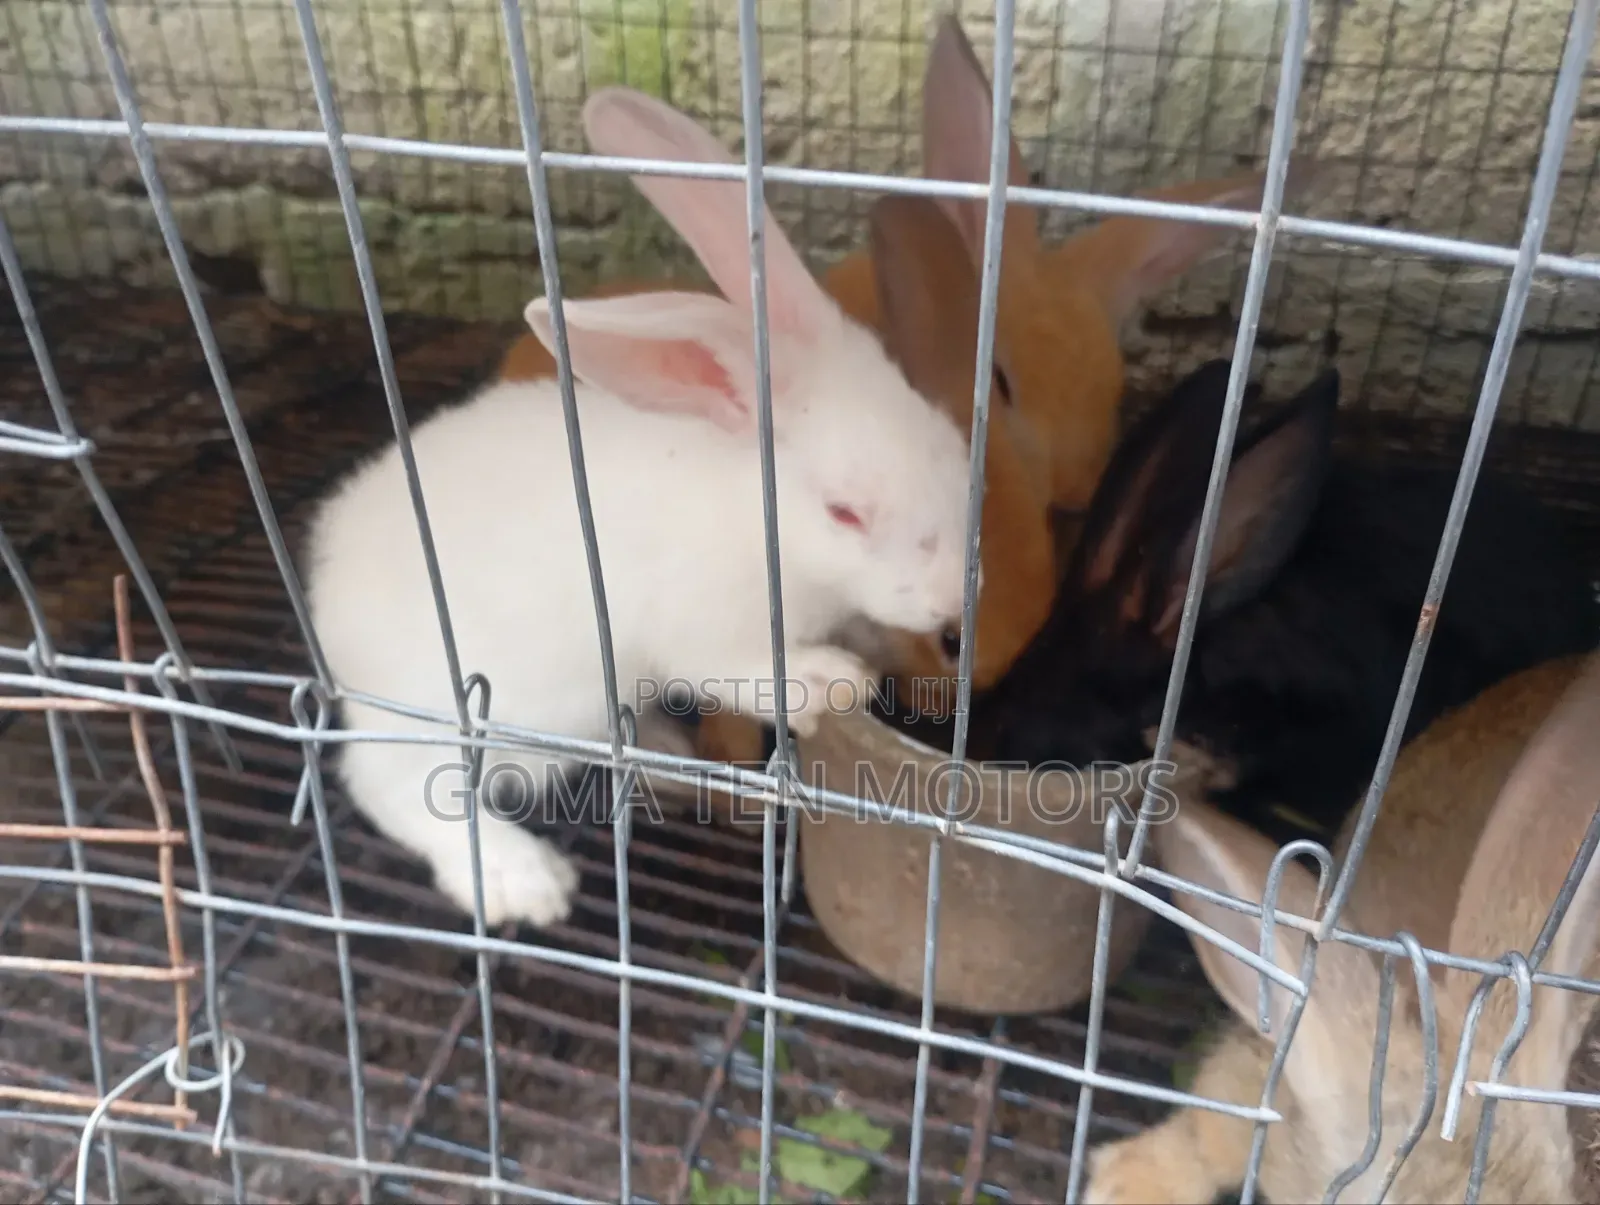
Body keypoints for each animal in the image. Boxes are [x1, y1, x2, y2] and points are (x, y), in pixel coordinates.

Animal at [300, 85, 975, 928]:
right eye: (844, 511)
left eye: (951, 442)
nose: (954, 597)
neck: (757, 516)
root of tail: (325, 593)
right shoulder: (703, 629)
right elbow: (744, 672)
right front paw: (833, 681)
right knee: (392, 784)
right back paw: (523, 879)